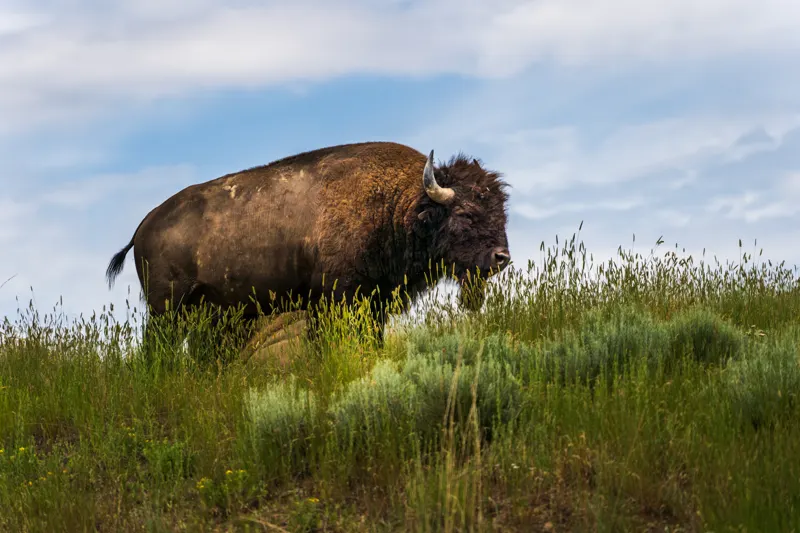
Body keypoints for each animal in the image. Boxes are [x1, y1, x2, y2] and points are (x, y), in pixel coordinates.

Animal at [105, 141, 511, 344]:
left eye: (502, 210)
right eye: (466, 214)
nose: (501, 257)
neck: (398, 204)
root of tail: (145, 226)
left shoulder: (373, 303)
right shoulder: (332, 299)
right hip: (167, 309)